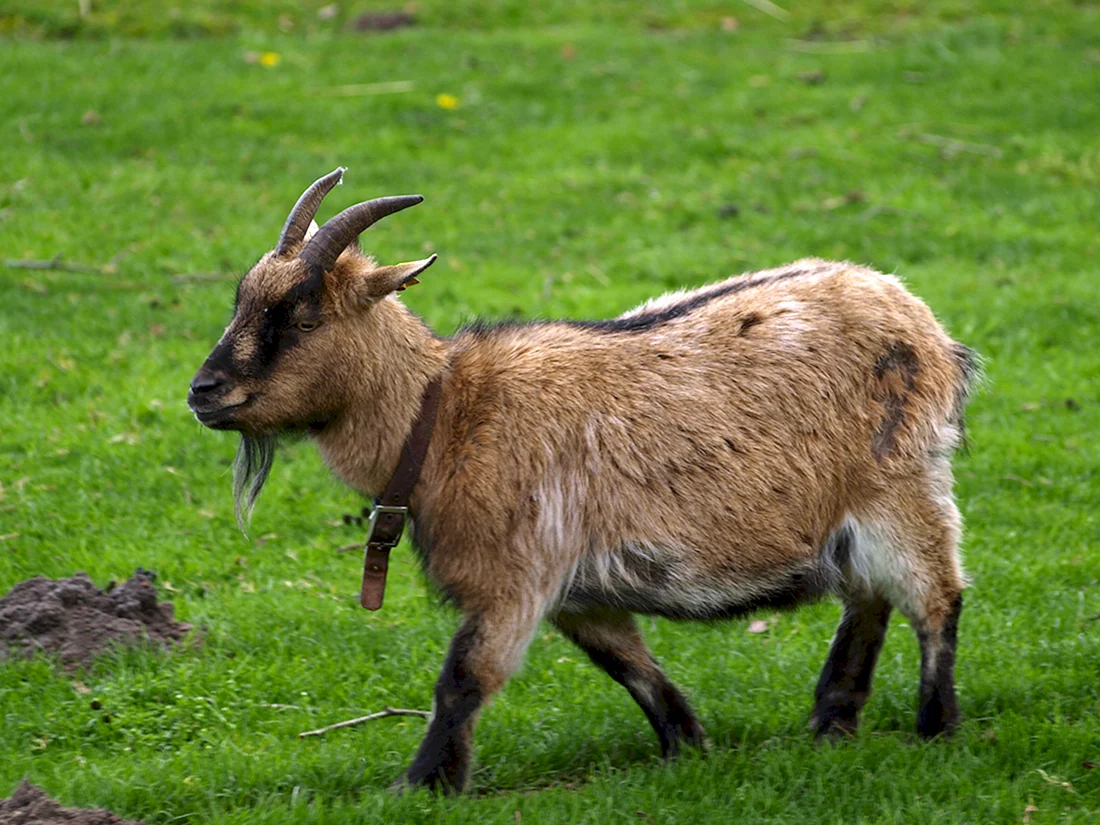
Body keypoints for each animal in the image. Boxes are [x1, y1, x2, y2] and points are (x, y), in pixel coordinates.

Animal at [188, 169, 979, 794]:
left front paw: (420, 785)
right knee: (868, 597)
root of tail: (922, 322)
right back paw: (831, 721)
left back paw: (936, 729)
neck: (445, 416)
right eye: (241, 300)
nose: (204, 391)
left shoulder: (516, 576)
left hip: (902, 486)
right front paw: (689, 746)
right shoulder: (578, 592)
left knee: (935, 597)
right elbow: (630, 666)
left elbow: (462, 678)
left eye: (301, 317)